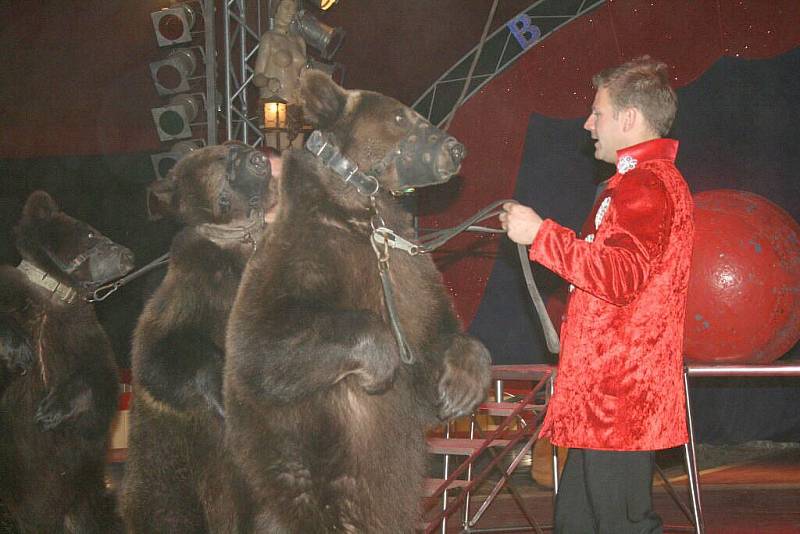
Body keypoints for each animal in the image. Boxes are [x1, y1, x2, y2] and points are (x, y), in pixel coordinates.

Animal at [0, 191, 134, 532]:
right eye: (90, 234)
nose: (129, 255)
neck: (55, 295)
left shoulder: (83, 334)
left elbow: (100, 381)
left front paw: (50, 409)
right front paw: (19, 348)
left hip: (83, 487)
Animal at [122, 142, 276, 534]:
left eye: (236, 147)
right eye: (224, 157)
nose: (259, 159)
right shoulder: (191, 291)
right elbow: (157, 356)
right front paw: (222, 393)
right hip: (169, 471)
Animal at [222, 72, 490, 534]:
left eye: (416, 113)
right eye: (400, 116)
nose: (456, 149)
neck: (360, 216)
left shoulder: (409, 268)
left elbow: (437, 332)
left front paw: (461, 385)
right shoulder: (300, 259)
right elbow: (260, 344)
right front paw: (379, 363)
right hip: (296, 481)